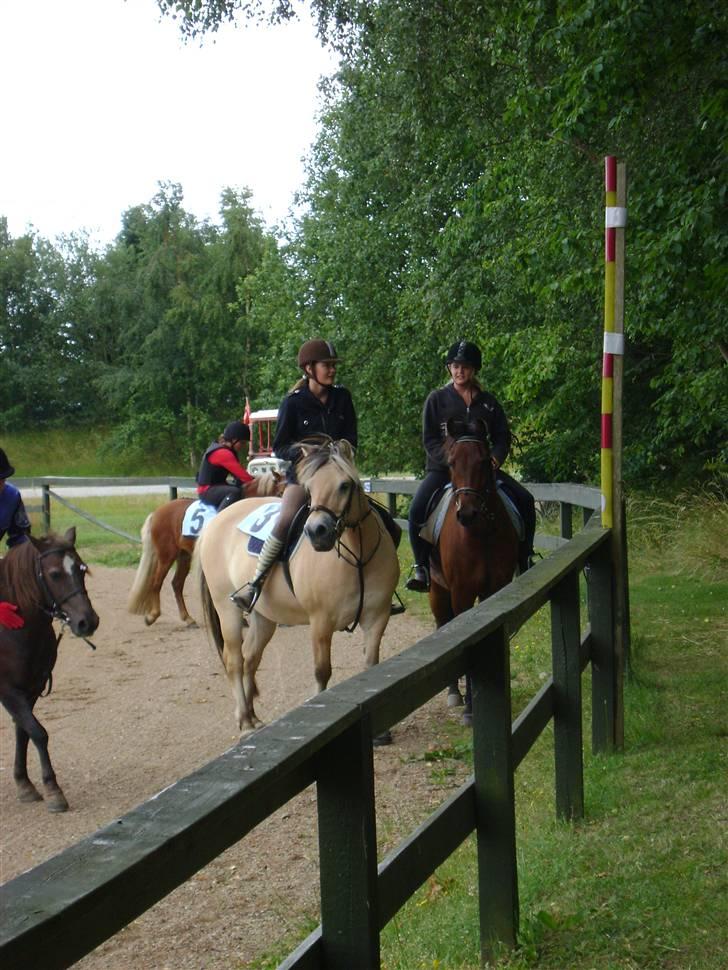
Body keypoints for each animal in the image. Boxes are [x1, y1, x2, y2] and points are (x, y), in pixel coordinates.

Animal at [0, 524, 99, 812]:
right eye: (54, 574)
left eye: (81, 569)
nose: (87, 621)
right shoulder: (8, 691)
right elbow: (38, 732)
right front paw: (53, 789)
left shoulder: (31, 688)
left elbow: (23, 732)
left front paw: (24, 783)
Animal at [128, 470, 282, 628]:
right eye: (280, 491)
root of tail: (157, 512)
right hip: (167, 555)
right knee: (156, 582)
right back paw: (152, 615)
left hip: (184, 556)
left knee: (176, 584)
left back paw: (187, 618)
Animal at [196, 436, 400, 732]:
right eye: (309, 488)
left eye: (344, 485)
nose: (317, 532)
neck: (357, 555)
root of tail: (215, 522)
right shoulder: (321, 622)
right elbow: (322, 672)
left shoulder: (377, 617)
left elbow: (372, 667)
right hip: (227, 609)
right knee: (234, 660)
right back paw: (244, 720)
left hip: (263, 616)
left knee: (250, 657)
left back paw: (252, 715)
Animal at [430, 416, 520, 720]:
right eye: (451, 462)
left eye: (483, 461)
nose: (466, 514)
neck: (480, 533)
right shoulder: (461, 593)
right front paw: (470, 707)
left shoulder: (496, 588)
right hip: (437, 591)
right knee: (443, 625)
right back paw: (453, 693)